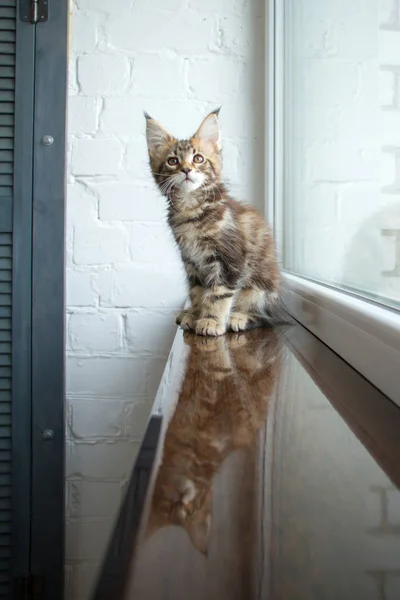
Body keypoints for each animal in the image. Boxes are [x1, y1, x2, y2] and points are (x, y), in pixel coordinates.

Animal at [146, 109, 282, 336]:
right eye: (173, 161)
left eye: (198, 158)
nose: (186, 170)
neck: (192, 210)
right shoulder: (192, 261)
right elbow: (197, 291)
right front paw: (195, 315)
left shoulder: (228, 258)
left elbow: (218, 293)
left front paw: (211, 321)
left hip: (259, 285)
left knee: (266, 315)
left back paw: (239, 317)